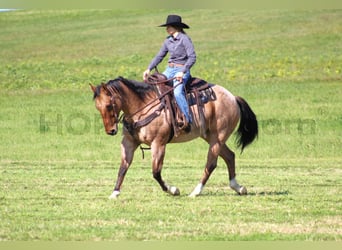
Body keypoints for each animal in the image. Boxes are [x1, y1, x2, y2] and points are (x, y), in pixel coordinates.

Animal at [89, 76, 258, 199]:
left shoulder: (158, 144)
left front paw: (173, 190)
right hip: (210, 137)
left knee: (211, 164)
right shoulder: (129, 143)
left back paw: (196, 191)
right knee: (230, 156)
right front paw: (115, 192)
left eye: (109, 105)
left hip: (218, 138)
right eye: (97, 107)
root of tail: (233, 97)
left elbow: (156, 172)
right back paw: (238, 187)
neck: (142, 106)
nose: (110, 130)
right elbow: (123, 167)